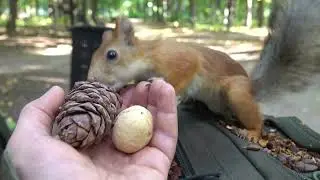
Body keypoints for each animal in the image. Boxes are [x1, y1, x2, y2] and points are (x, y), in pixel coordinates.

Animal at [87, 17, 262, 142]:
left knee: (258, 121)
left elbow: (185, 71)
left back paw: (253, 132)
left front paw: (163, 84)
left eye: (111, 54)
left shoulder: (179, 58)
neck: (147, 56)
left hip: (237, 92)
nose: (91, 78)